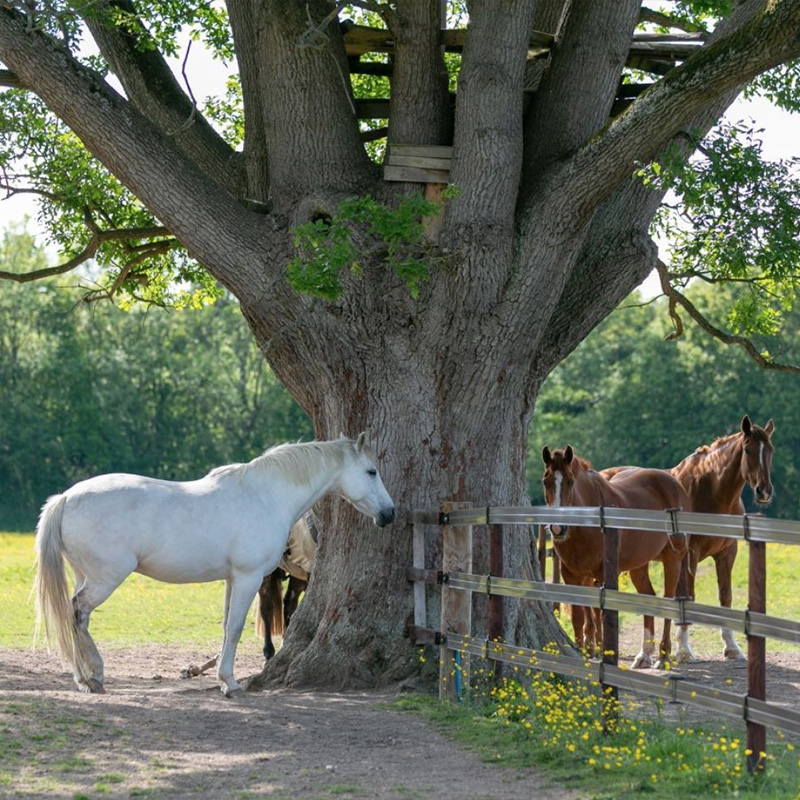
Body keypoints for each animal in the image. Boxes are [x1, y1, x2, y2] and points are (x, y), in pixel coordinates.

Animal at [36, 434, 396, 696]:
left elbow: (225, 628)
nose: (389, 513)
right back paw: (91, 676)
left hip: (86, 575)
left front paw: (224, 679)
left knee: (77, 618)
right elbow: (235, 628)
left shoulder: (232, 579)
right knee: (77, 613)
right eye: (372, 471)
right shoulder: (249, 578)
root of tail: (66, 498)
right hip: (105, 579)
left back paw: (86, 677)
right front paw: (231, 684)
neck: (267, 495)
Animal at [540, 446, 692, 664]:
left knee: (668, 600)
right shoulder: (572, 575)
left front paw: (605, 653)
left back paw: (663, 656)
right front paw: (583, 653)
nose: (558, 528)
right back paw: (644, 654)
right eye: (546, 481)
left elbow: (604, 614)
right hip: (639, 566)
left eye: (570, 481)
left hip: (673, 559)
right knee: (648, 597)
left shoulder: (604, 575)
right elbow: (578, 616)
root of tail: (676, 485)